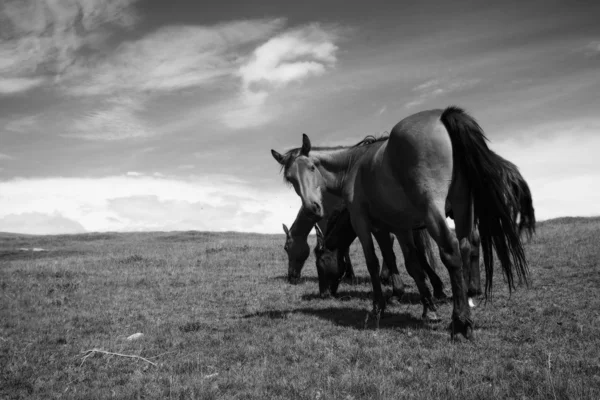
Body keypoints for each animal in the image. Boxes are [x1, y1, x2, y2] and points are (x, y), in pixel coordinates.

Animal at [314, 206, 446, 322]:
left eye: (319, 265)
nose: (323, 294)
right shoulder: (384, 229)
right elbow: (391, 255)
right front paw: (397, 292)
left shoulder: (396, 228)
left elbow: (414, 255)